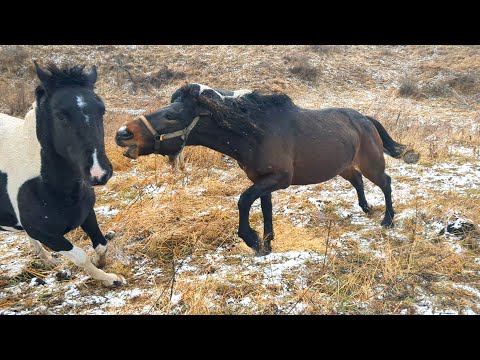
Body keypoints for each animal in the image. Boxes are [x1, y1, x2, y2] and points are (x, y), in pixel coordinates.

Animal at [0, 62, 124, 286]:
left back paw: (49, 261)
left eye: (101, 110)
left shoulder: (86, 213)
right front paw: (110, 279)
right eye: (60, 115)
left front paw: (100, 264)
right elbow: (80, 256)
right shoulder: (47, 235)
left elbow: (101, 245)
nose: (99, 173)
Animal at [114, 83, 418, 255]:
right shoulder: (263, 180)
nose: (122, 134)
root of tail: (364, 119)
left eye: (171, 115)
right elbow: (265, 208)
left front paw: (252, 239)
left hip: (371, 163)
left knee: (386, 182)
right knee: (357, 181)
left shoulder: (279, 179)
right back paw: (366, 208)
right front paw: (268, 244)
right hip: (342, 166)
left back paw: (388, 220)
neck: (254, 132)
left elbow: (243, 200)